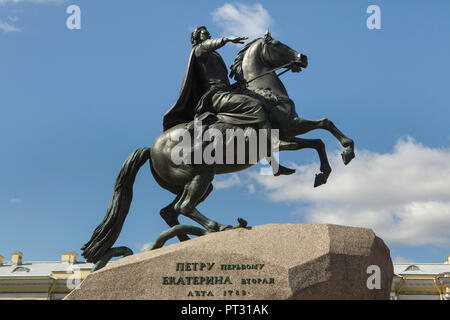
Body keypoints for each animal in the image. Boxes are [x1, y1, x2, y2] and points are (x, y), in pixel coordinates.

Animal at [81, 31, 356, 270]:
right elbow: (322, 130)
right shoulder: (289, 130)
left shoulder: (291, 131)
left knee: (170, 211)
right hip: (202, 175)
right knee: (184, 207)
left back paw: (182, 242)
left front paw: (330, 166)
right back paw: (220, 227)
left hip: (195, 183)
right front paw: (341, 156)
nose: (303, 57)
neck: (264, 92)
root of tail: (151, 148)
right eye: (278, 43)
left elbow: (321, 134)